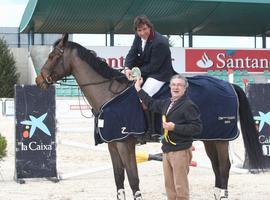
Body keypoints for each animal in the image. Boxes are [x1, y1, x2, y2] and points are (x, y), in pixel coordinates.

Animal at [34, 33, 266, 199]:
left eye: (53, 56)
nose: (39, 80)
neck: (110, 95)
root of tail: (229, 85)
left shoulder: (125, 144)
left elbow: (133, 179)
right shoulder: (113, 145)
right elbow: (119, 179)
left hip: (220, 138)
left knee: (224, 168)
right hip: (211, 138)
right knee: (218, 169)